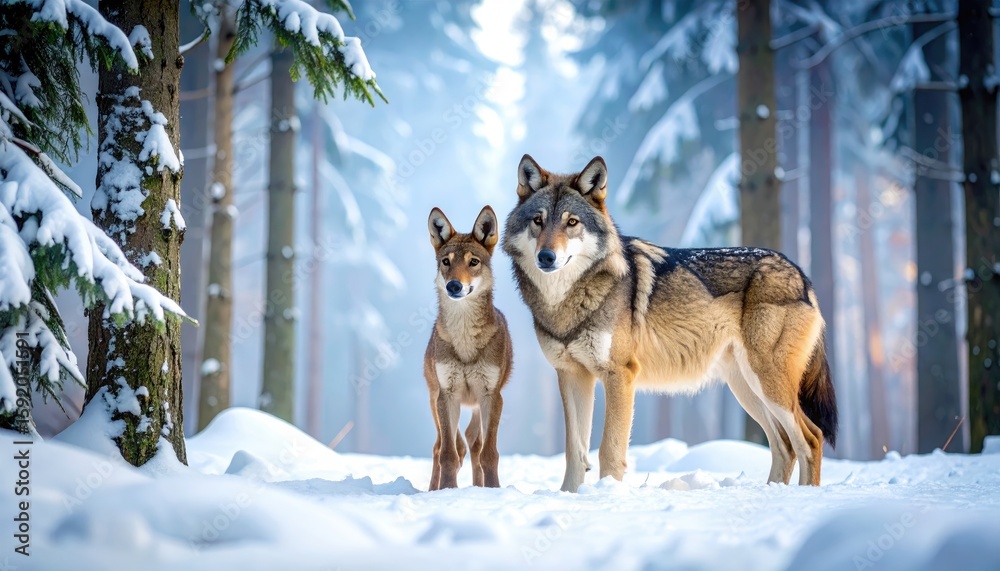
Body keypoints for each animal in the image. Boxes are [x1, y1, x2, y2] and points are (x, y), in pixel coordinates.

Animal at [424, 205, 513, 490]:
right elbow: (448, 454)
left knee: (474, 443)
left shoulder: (492, 396)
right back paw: (432, 488)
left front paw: (493, 489)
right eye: (446, 262)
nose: (454, 285)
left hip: (475, 406)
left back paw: (478, 486)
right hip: (435, 400)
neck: (464, 340)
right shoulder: (446, 395)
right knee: (441, 446)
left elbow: (489, 453)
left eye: (473, 262)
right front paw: (447, 490)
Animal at [502, 154, 838, 491]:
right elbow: (575, 452)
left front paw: (608, 492)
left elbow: (609, 450)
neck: (567, 302)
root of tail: (800, 273)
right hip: (746, 388)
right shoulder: (571, 375)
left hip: (767, 383)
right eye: (538, 221)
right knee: (784, 446)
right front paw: (571, 495)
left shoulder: (620, 374)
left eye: (572, 222)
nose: (546, 257)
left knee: (811, 439)